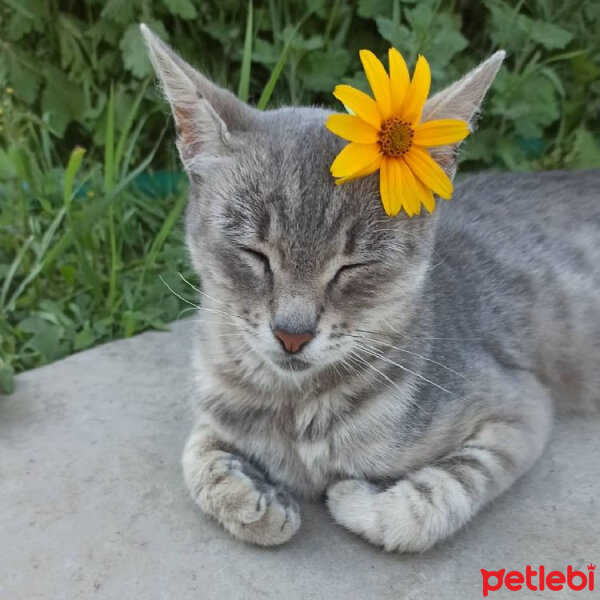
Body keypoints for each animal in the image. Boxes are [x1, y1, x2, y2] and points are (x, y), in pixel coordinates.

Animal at [139, 25, 600, 552]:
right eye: (255, 254)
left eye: (352, 266)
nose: (292, 334)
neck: (293, 409)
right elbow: (197, 454)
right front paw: (249, 497)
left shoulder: (521, 407)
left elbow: (434, 497)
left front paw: (356, 499)